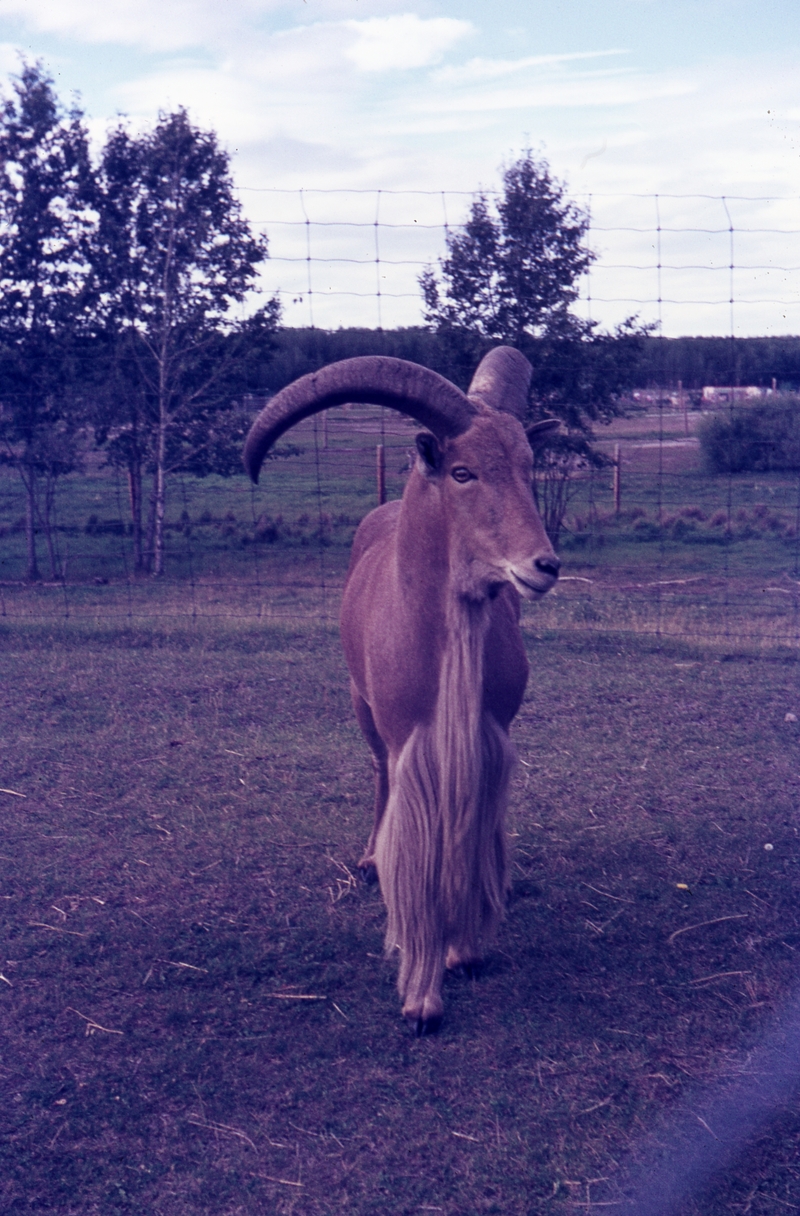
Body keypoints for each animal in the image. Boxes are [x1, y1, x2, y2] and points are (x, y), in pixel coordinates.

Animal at [241, 345, 554, 1036]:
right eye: (463, 472)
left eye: (528, 467)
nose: (544, 565)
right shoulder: (412, 745)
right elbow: (415, 854)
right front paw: (422, 1001)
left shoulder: (487, 740)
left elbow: (469, 841)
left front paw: (466, 951)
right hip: (362, 708)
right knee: (377, 773)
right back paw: (369, 862)